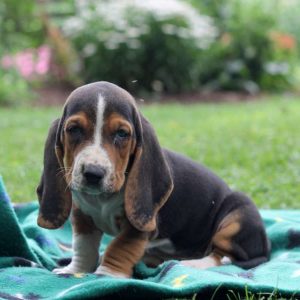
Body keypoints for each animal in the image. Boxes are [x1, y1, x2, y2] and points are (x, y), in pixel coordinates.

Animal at [36, 81, 270, 278]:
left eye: (122, 134)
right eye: (73, 129)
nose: (93, 173)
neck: (102, 199)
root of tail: (266, 247)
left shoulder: (139, 225)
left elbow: (119, 247)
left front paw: (107, 274)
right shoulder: (83, 216)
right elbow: (83, 246)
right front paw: (76, 270)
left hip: (237, 216)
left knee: (223, 255)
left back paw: (193, 264)